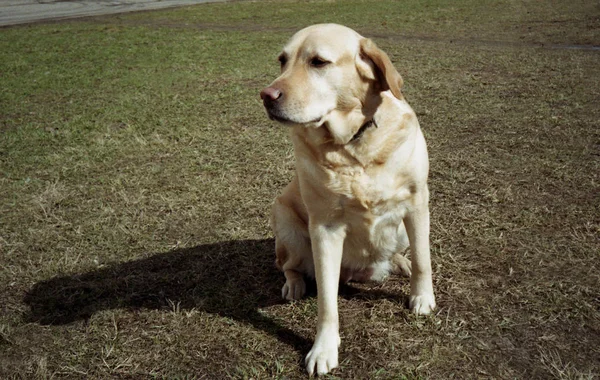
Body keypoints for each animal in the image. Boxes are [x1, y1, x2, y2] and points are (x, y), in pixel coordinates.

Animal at [258, 24, 436, 378]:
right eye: (282, 60)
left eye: (318, 62)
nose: (266, 96)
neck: (354, 144)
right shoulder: (324, 228)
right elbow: (327, 301)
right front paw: (323, 349)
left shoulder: (416, 201)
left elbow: (424, 258)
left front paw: (422, 297)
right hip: (285, 221)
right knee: (287, 265)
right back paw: (294, 285)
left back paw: (401, 263)